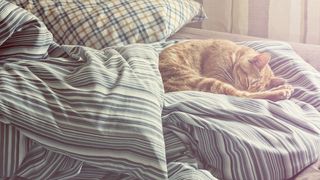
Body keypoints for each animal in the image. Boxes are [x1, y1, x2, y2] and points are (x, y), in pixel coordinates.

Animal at [159, 39, 294, 101]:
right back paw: (282, 91)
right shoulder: (217, 75)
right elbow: (244, 93)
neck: (235, 54)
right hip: (206, 81)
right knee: (243, 96)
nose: (245, 88)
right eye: (248, 82)